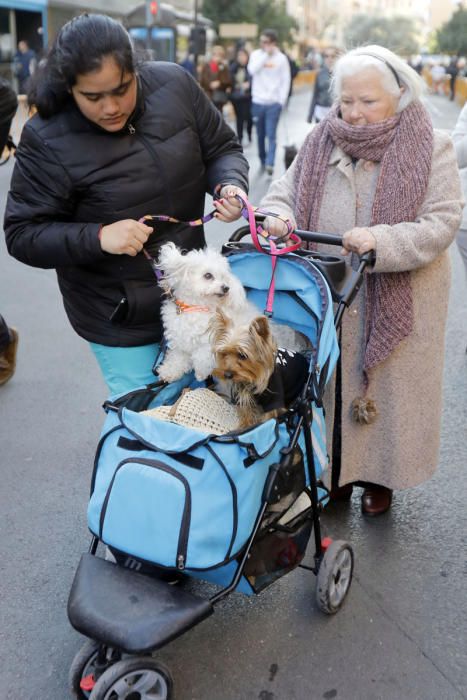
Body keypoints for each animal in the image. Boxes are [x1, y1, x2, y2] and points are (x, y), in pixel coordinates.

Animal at [156, 242, 256, 382]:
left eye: (224, 278)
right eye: (208, 275)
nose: (226, 288)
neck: (197, 307)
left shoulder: (211, 342)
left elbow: (202, 357)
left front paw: (201, 373)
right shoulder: (180, 341)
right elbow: (177, 358)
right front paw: (170, 371)